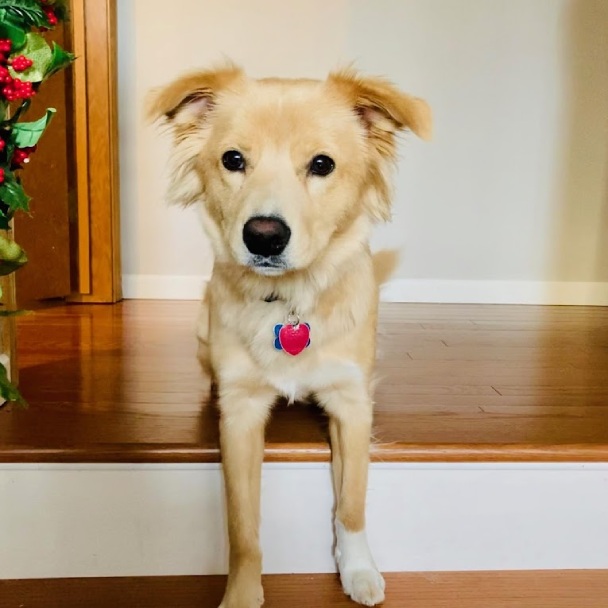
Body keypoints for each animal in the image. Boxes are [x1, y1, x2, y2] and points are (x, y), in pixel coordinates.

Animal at [149, 64, 430, 604]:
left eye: (322, 164)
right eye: (233, 160)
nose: (263, 236)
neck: (289, 303)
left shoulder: (351, 404)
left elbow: (352, 503)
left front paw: (357, 569)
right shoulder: (241, 414)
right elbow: (243, 527)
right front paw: (241, 594)